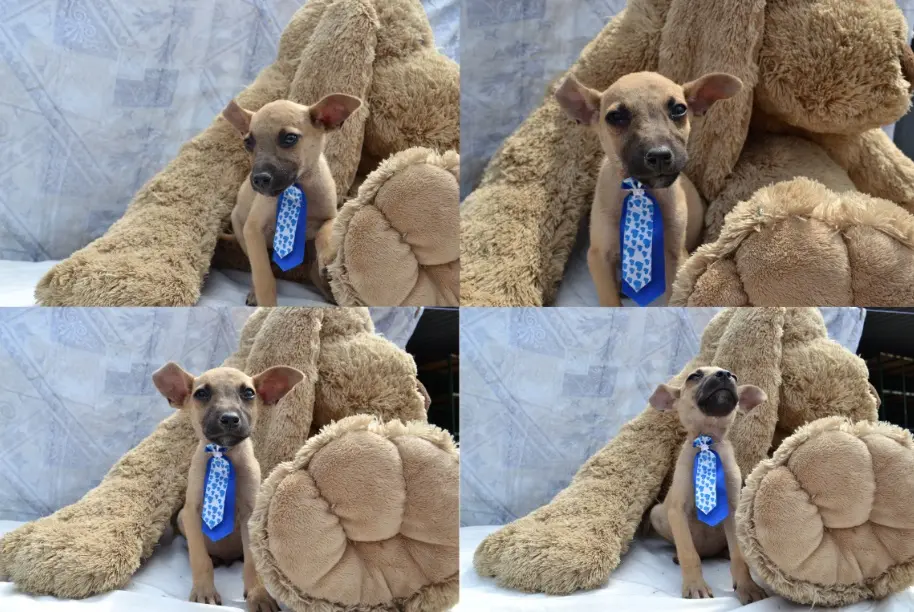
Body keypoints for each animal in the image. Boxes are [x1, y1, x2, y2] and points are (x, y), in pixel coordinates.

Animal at [153, 362, 304, 611]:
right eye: (201, 393)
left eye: (249, 393)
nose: (230, 419)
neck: (224, 454)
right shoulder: (192, 513)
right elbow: (199, 558)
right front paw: (204, 592)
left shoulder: (250, 515)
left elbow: (252, 563)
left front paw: (259, 595)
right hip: (181, 518)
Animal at [221, 94, 362, 306]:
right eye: (248, 143)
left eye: (289, 138)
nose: (259, 179)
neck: (298, 185)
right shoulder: (253, 230)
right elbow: (263, 275)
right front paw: (266, 305)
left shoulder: (331, 216)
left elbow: (325, 231)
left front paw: (326, 256)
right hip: (241, 231)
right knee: (256, 267)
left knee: (312, 271)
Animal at [555, 71, 742, 306]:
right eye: (615, 117)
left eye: (679, 109)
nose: (660, 155)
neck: (641, 189)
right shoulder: (599, 256)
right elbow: (609, 300)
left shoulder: (674, 255)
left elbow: (673, 299)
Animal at [646, 366, 768, 604]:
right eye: (694, 376)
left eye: (735, 376)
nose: (725, 375)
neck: (707, 442)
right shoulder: (677, 511)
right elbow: (688, 553)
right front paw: (695, 586)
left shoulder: (732, 509)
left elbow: (739, 556)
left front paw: (747, 587)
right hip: (656, 513)